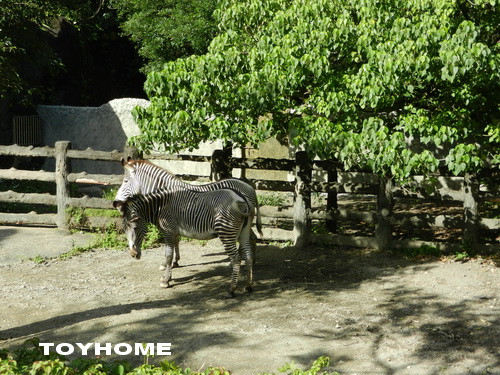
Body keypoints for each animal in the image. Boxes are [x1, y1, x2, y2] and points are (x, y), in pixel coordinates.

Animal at [113, 158, 262, 270]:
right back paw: (250, 261)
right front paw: (174, 262)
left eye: (125, 181)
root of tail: (249, 186)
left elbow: (173, 242)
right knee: (251, 237)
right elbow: (176, 240)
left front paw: (168, 263)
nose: (115, 203)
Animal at [114, 187, 254, 298]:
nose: (133, 254)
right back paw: (248, 286)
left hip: (226, 233)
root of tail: (241, 198)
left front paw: (166, 281)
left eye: (135, 227)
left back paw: (231, 290)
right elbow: (170, 255)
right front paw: (168, 276)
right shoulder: (173, 233)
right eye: (124, 229)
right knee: (248, 255)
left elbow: (168, 256)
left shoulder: (168, 232)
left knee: (236, 259)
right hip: (244, 233)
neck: (160, 207)